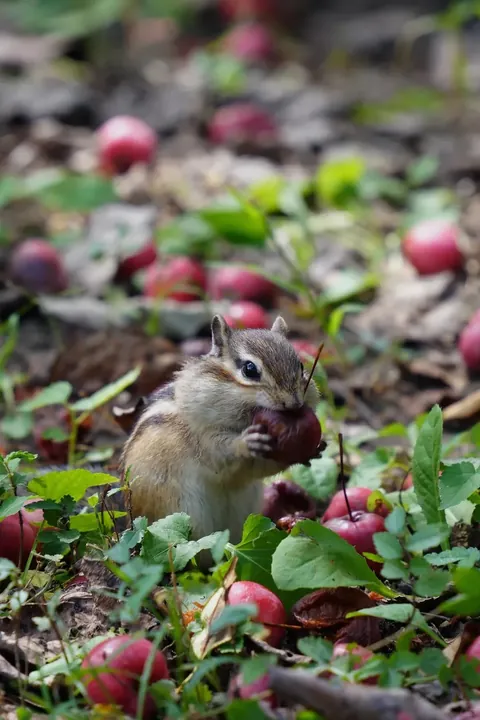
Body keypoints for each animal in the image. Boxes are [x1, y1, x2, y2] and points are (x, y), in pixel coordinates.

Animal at [120, 314, 322, 546]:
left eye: (301, 366)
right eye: (249, 369)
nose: (294, 403)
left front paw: (315, 450)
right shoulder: (201, 438)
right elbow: (220, 455)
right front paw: (245, 443)